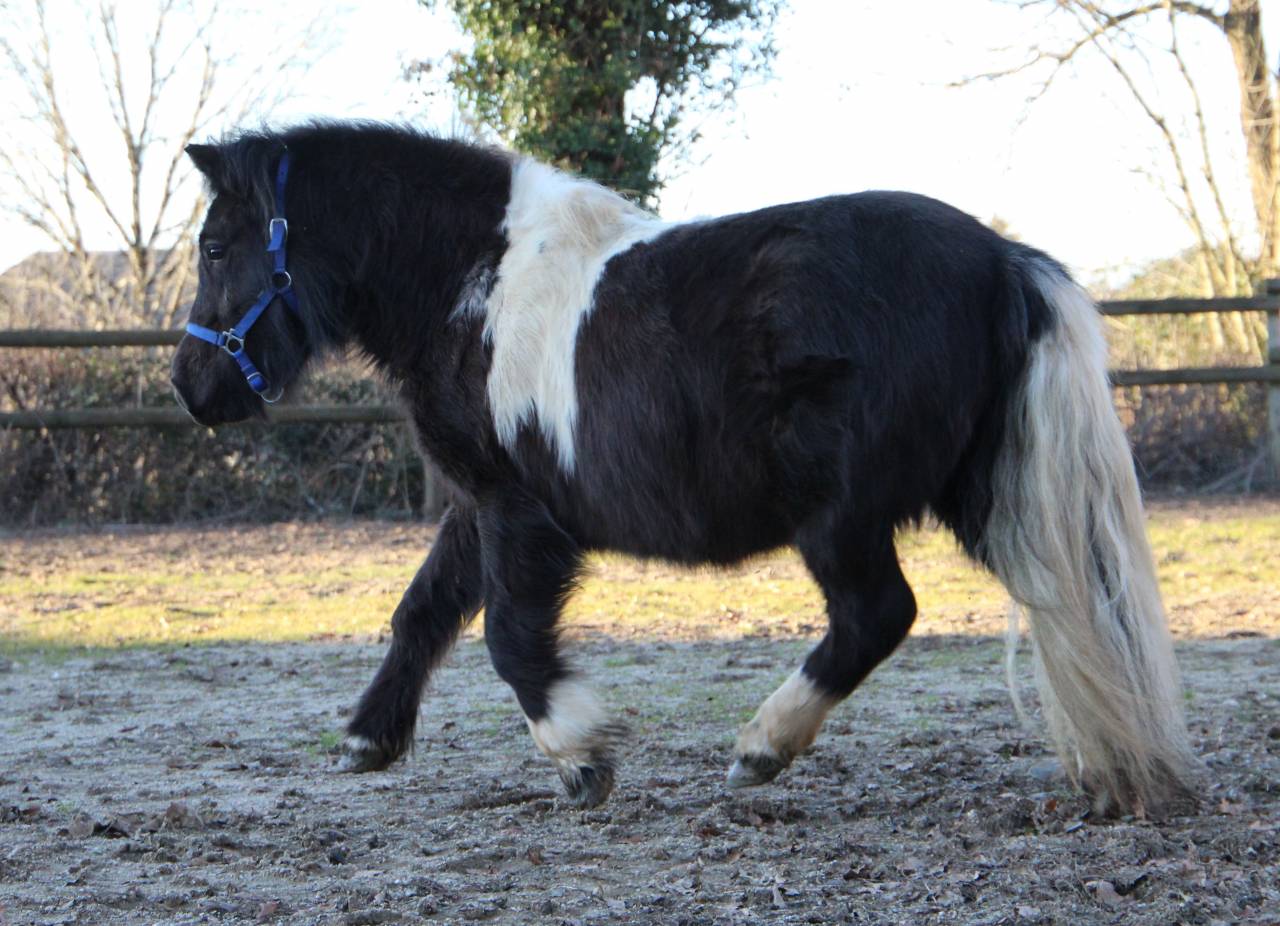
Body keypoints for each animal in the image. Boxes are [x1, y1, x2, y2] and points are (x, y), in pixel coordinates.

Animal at [171, 121, 1196, 814]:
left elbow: (509, 640)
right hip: (982, 496)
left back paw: (760, 749)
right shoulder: (478, 500)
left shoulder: (517, 512)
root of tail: (999, 258)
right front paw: (367, 738)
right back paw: (1114, 770)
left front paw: (581, 756)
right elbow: (421, 614)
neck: (478, 282)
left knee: (878, 616)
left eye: (216, 246)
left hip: (843, 517)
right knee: (1073, 605)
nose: (190, 387)